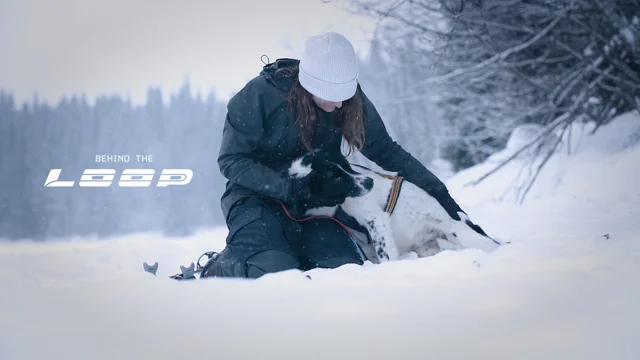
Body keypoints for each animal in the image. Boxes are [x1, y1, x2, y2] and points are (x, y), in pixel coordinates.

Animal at [288, 150, 502, 262]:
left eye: (346, 166)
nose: (369, 183)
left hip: (463, 235)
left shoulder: (375, 220)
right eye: (336, 178)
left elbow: (385, 255)